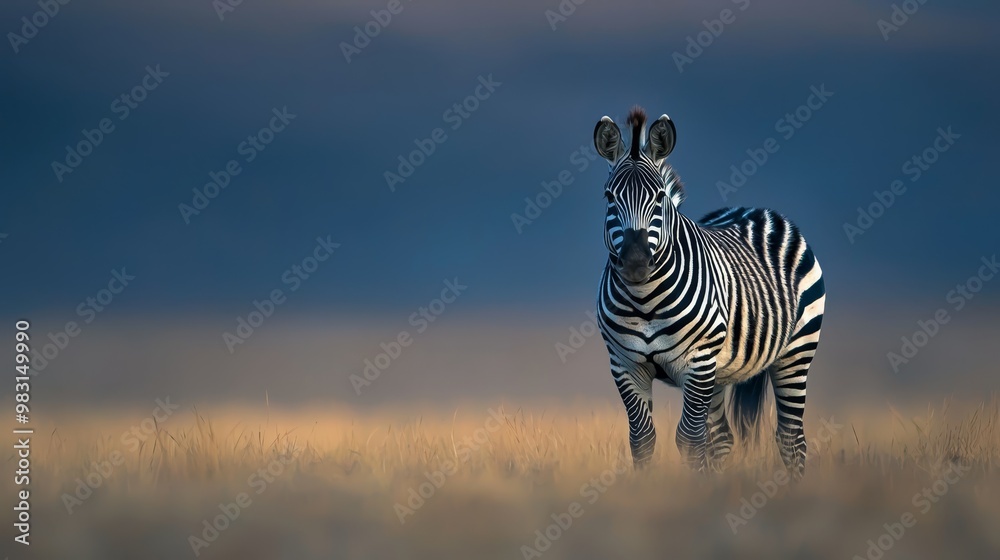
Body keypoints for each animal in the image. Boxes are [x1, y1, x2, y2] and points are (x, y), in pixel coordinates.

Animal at [594, 107, 826, 478]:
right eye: (609, 197)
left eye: (659, 197)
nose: (635, 262)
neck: (645, 301)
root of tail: (758, 210)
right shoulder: (625, 364)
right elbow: (642, 439)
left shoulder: (698, 361)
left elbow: (689, 439)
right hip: (719, 373)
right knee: (722, 440)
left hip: (795, 352)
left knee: (791, 439)